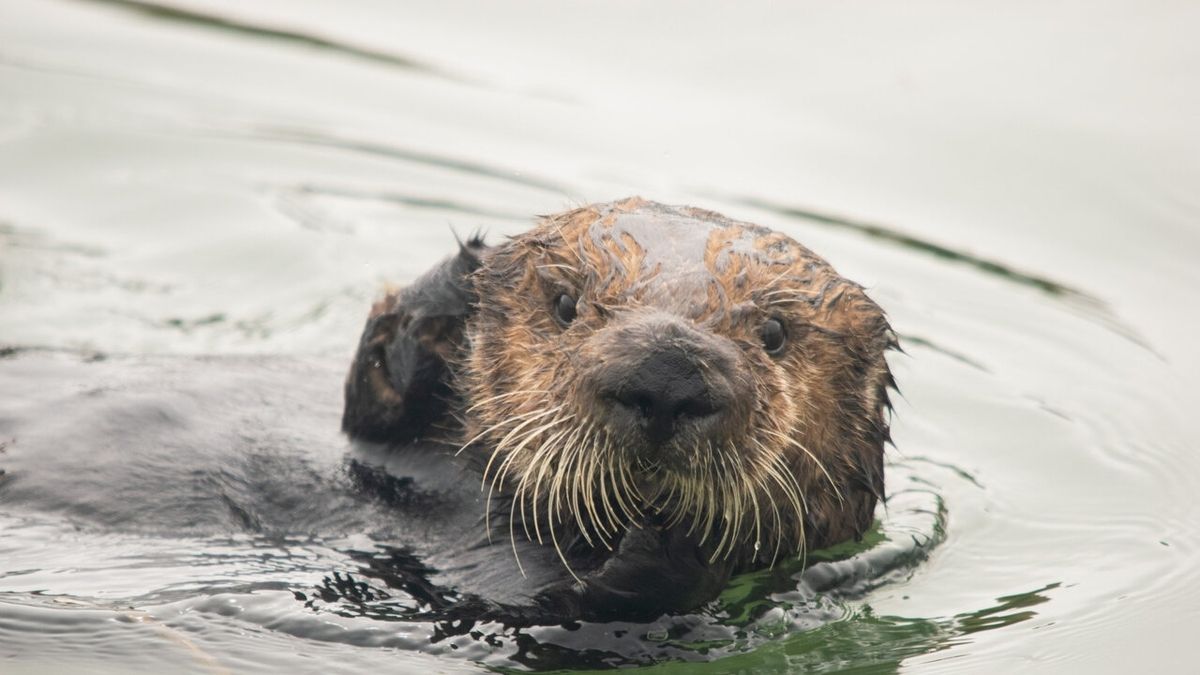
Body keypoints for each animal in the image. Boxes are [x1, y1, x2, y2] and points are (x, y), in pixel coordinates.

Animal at [342, 197, 897, 624]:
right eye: (566, 305)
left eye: (776, 333)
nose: (667, 374)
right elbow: (372, 399)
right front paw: (458, 278)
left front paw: (680, 534)